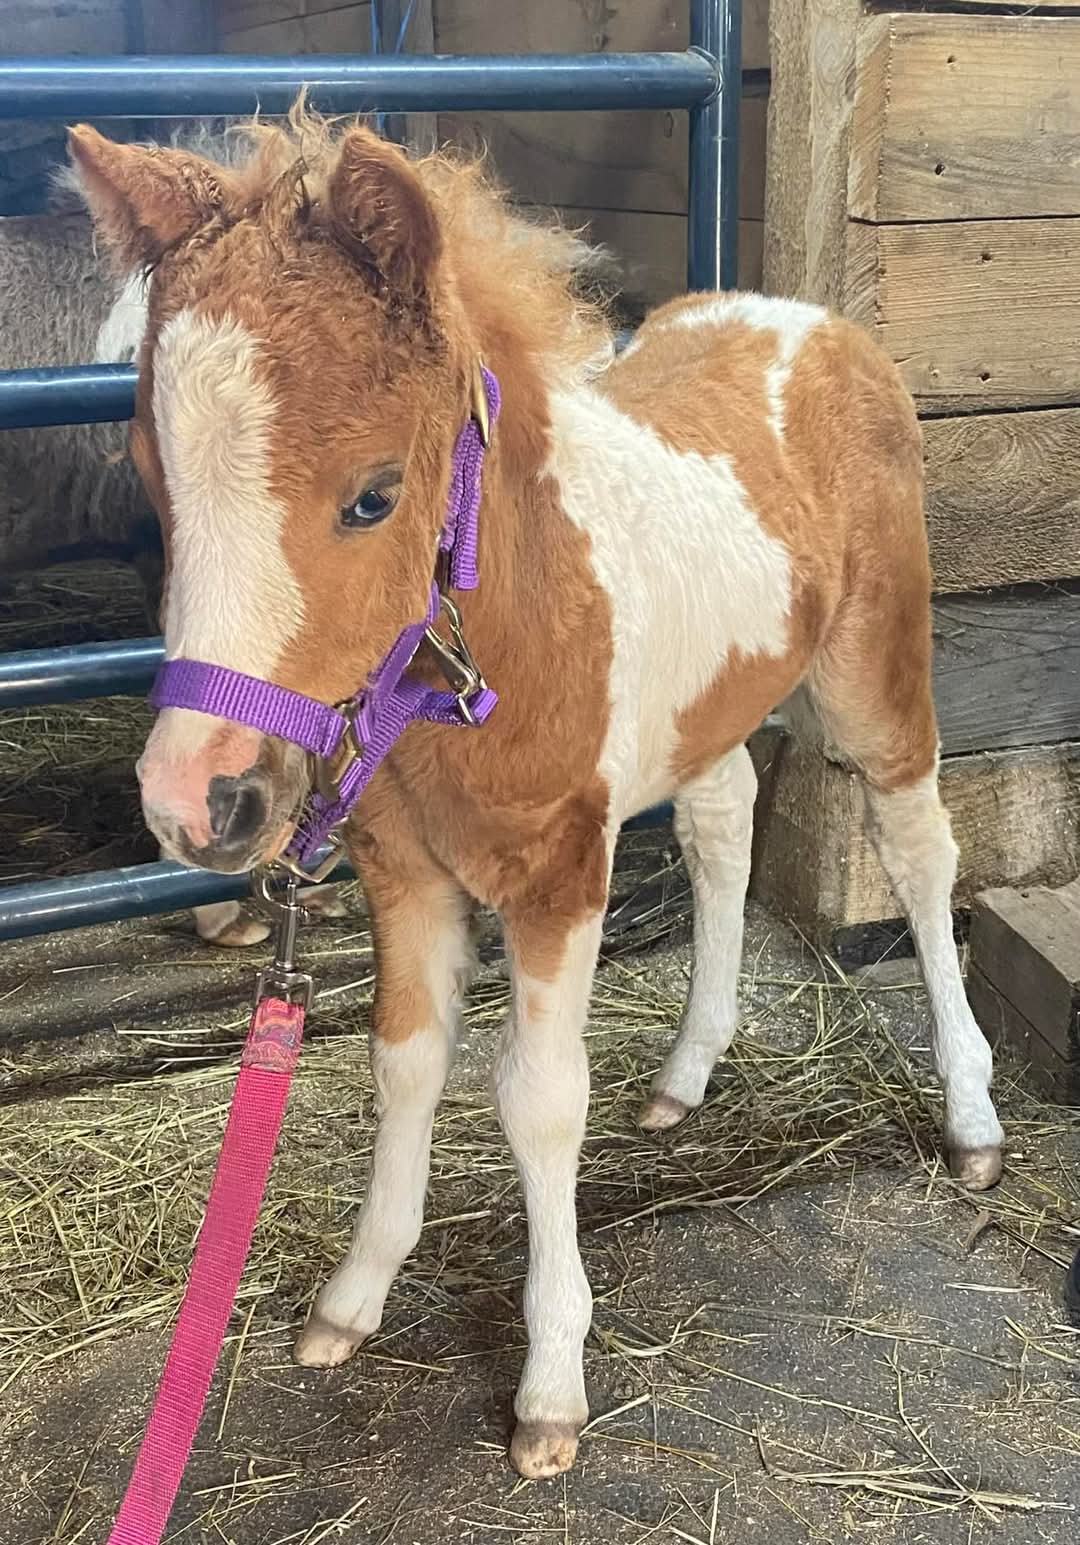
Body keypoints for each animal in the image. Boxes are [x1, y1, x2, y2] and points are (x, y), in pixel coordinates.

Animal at [68, 105, 1004, 1481]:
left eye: (374, 495)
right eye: (153, 477)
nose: (201, 803)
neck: (490, 639)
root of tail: (809, 319)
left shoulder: (563, 872)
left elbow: (537, 1099)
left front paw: (552, 1382)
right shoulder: (403, 873)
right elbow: (407, 1060)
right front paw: (353, 1299)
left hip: (874, 678)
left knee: (921, 850)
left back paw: (973, 1114)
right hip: (702, 708)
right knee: (724, 823)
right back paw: (686, 1072)